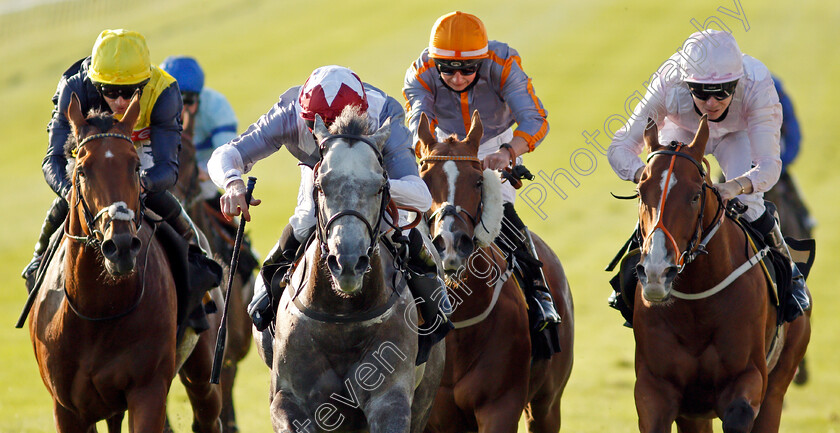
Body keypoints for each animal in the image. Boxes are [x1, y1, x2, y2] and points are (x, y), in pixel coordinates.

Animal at [29, 93, 221, 432]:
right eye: (82, 170)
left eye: (135, 167)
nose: (119, 247)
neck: (98, 310)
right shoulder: (67, 409)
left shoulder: (148, 389)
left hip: (202, 367)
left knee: (206, 412)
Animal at [253, 105, 442, 432]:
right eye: (320, 186)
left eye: (380, 187)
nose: (348, 262)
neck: (341, 316)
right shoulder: (286, 397)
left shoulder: (390, 396)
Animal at [632, 115, 812, 432]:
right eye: (641, 193)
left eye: (695, 196)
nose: (657, 272)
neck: (696, 305)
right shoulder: (654, 388)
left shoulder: (747, 377)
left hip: (779, 382)